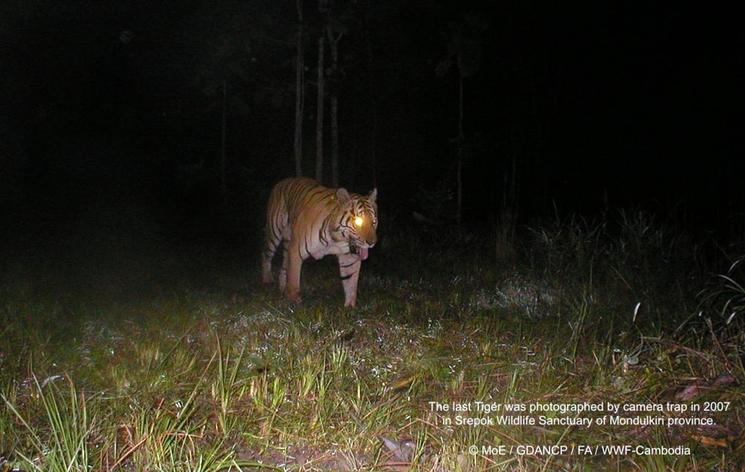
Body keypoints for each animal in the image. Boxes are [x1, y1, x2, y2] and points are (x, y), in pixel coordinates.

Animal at [262, 177, 378, 306]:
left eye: (374, 221)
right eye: (358, 221)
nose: (372, 243)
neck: (337, 239)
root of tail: (282, 181)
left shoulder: (349, 257)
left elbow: (351, 282)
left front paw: (350, 307)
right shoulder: (295, 249)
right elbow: (294, 278)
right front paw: (293, 302)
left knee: (284, 267)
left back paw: (282, 288)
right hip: (274, 232)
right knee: (266, 254)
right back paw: (267, 280)